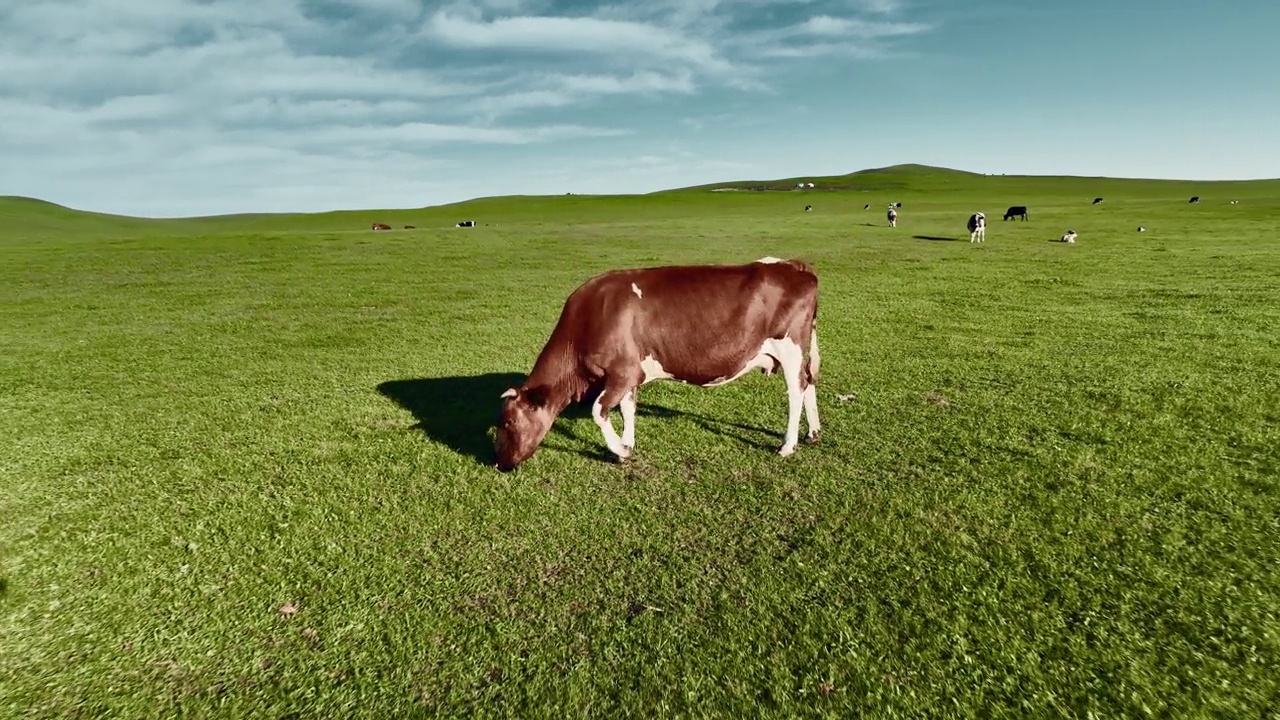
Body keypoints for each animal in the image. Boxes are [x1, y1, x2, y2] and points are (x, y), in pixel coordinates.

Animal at [488, 257, 819, 471]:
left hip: (789, 346)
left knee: (796, 390)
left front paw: (620, 450)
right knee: (809, 382)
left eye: (507, 422)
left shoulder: (623, 371)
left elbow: (599, 411)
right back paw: (813, 433)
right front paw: (627, 445)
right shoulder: (630, 375)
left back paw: (787, 445)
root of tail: (795, 265)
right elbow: (627, 409)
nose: (499, 463)